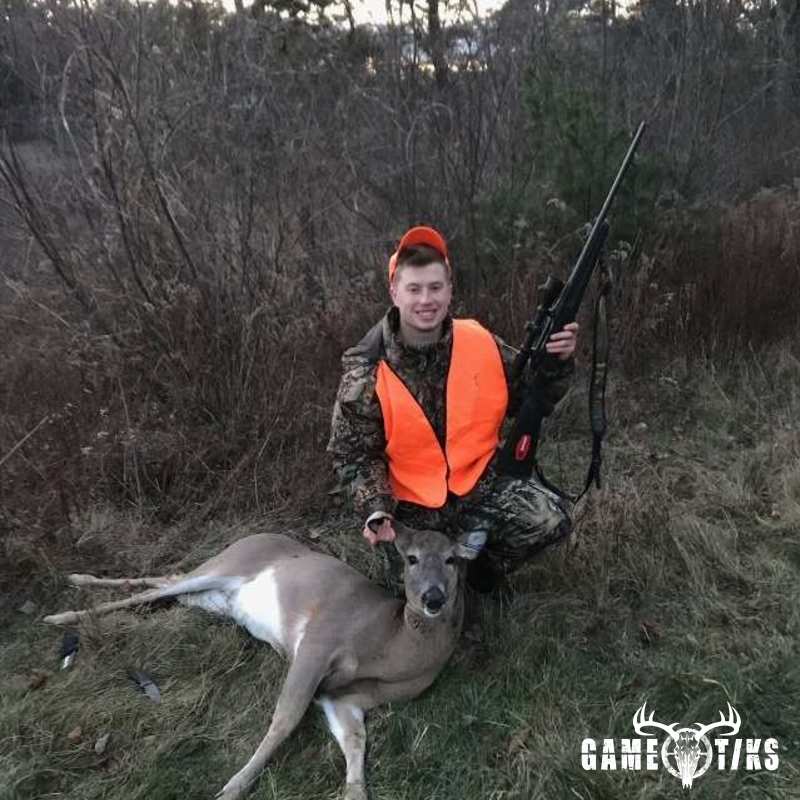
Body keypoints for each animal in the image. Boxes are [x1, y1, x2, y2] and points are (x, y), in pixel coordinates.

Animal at [43, 523, 485, 800]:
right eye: (410, 558)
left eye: (452, 560)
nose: (433, 598)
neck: (390, 648)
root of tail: (253, 535)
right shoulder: (318, 642)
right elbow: (285, 720)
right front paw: (232, 788)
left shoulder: (345, 698)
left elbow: (356, 744)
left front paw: (353, 792)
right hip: (225, 566)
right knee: (153, 589)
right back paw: (63, 610)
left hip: (213, 599)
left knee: (166, 582)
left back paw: (77, 586)